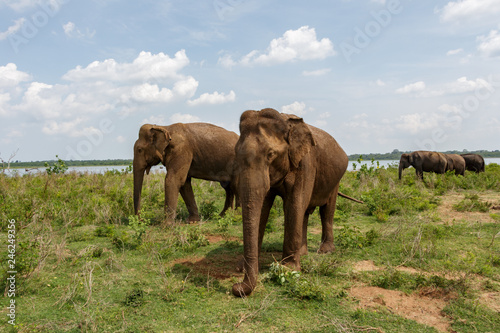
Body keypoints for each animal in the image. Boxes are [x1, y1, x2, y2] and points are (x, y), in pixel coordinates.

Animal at [230, 108, 352, 296]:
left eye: (270, 154)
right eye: (236, 154)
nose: (236, 287)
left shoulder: (305, 163)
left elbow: (295, 203)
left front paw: (287, 270)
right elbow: (265, 206)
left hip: (335, 180)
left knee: (326, 211)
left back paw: (325, 251)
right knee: (305, 213)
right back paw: (302, 253)